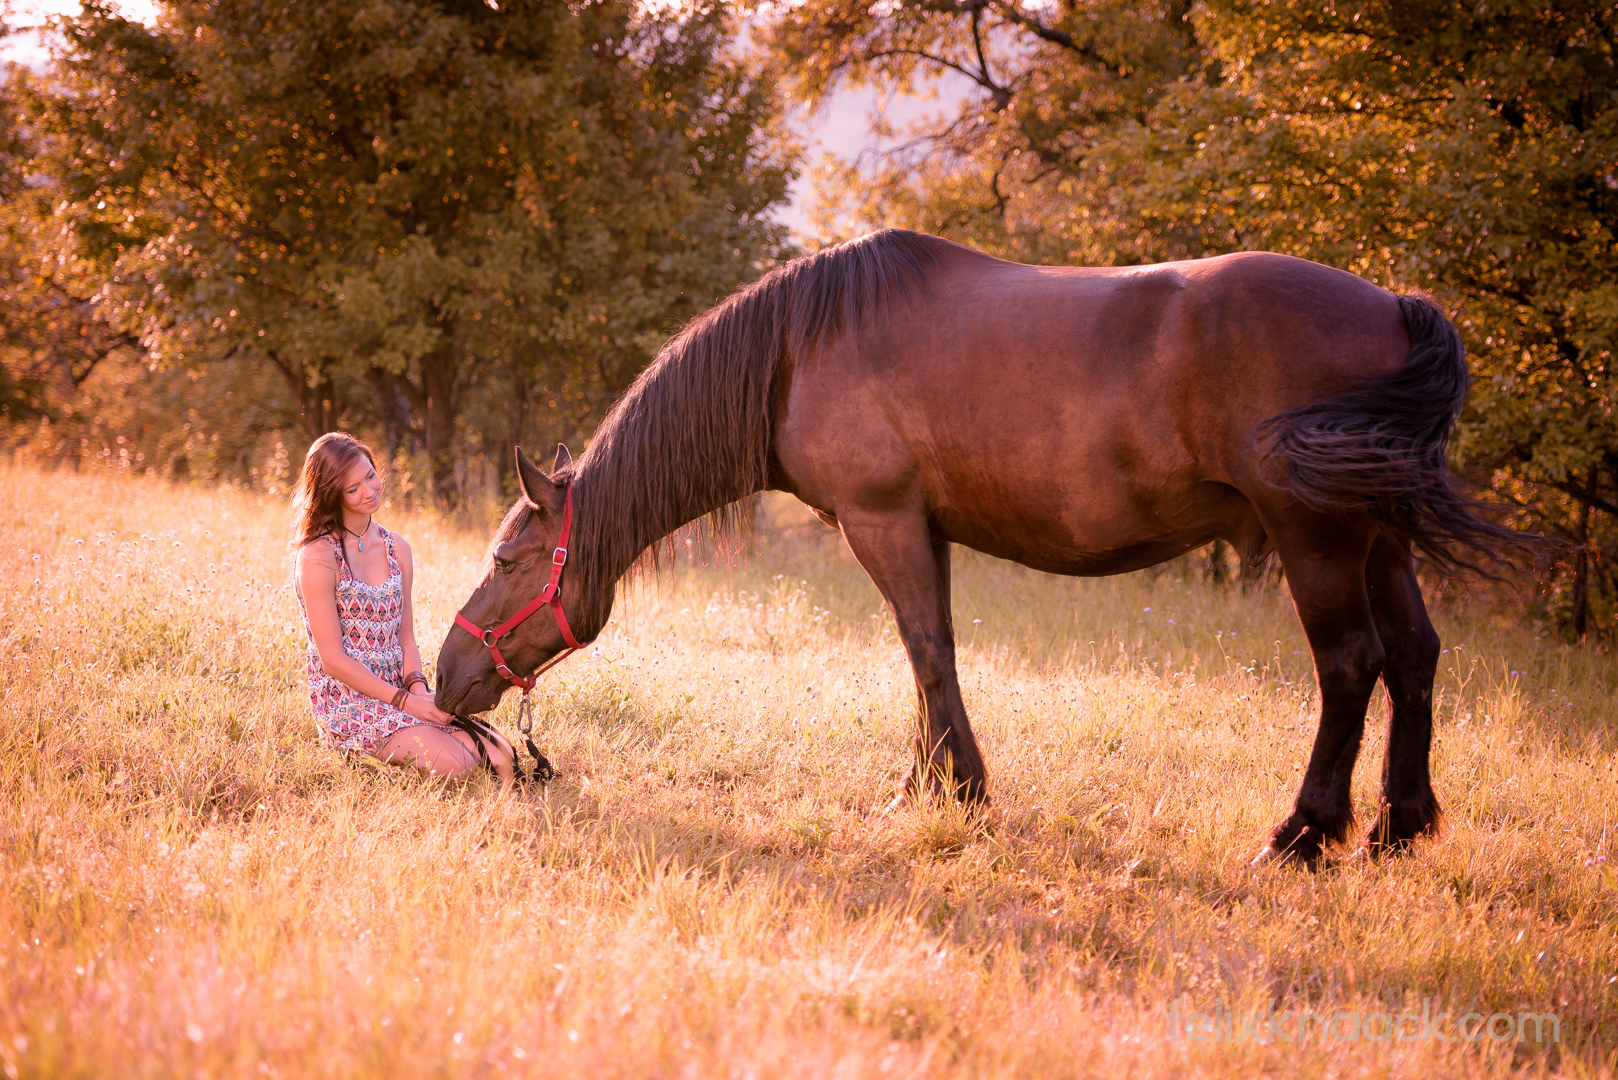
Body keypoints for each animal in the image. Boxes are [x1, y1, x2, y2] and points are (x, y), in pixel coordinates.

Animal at [433, 229, 1514, 867]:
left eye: (504, 562)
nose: (445, 681)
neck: (796, 351)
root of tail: (1395, 308)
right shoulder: (922, 528)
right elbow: (929, 657)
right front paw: (928, 787)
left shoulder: (881, 522)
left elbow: (926, 651)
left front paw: (955, 791)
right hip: (1379, 538)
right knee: (1413, 658)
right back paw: (1397, 828)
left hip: (1315, 537)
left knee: (1351, 665)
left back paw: (1303, 835)